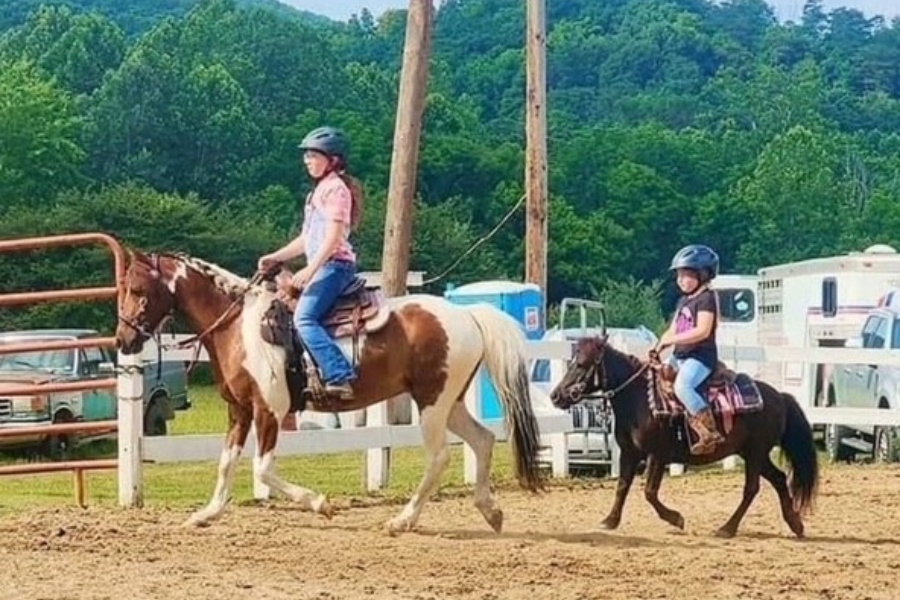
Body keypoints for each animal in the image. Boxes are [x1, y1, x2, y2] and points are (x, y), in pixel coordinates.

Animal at [116, 251, 544, 532]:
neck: (239, 326)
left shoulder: (269, 411)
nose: (122, 340)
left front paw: (320, 504)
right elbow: (226, 463)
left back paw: (402, 520)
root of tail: (469, 314)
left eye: (138, 289)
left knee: (440, 457)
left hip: (432, 404)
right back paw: (490, 511)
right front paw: (208, 513)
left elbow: (262, 468)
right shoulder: (239, 410)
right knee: (483, 440)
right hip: (448, 401)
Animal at [552, 336, 820, 536]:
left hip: (755, 452)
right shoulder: (629, 453)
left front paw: (675, 518)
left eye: (581, 364)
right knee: (779, 478)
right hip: (754, 453)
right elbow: (622, 486)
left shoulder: (657, 454)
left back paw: (727, 528)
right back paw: (795, 524)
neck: (640, 400)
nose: (556, 395)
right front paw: (610, 520)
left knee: (752, 488)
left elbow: (649, 492)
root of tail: (780, 396)